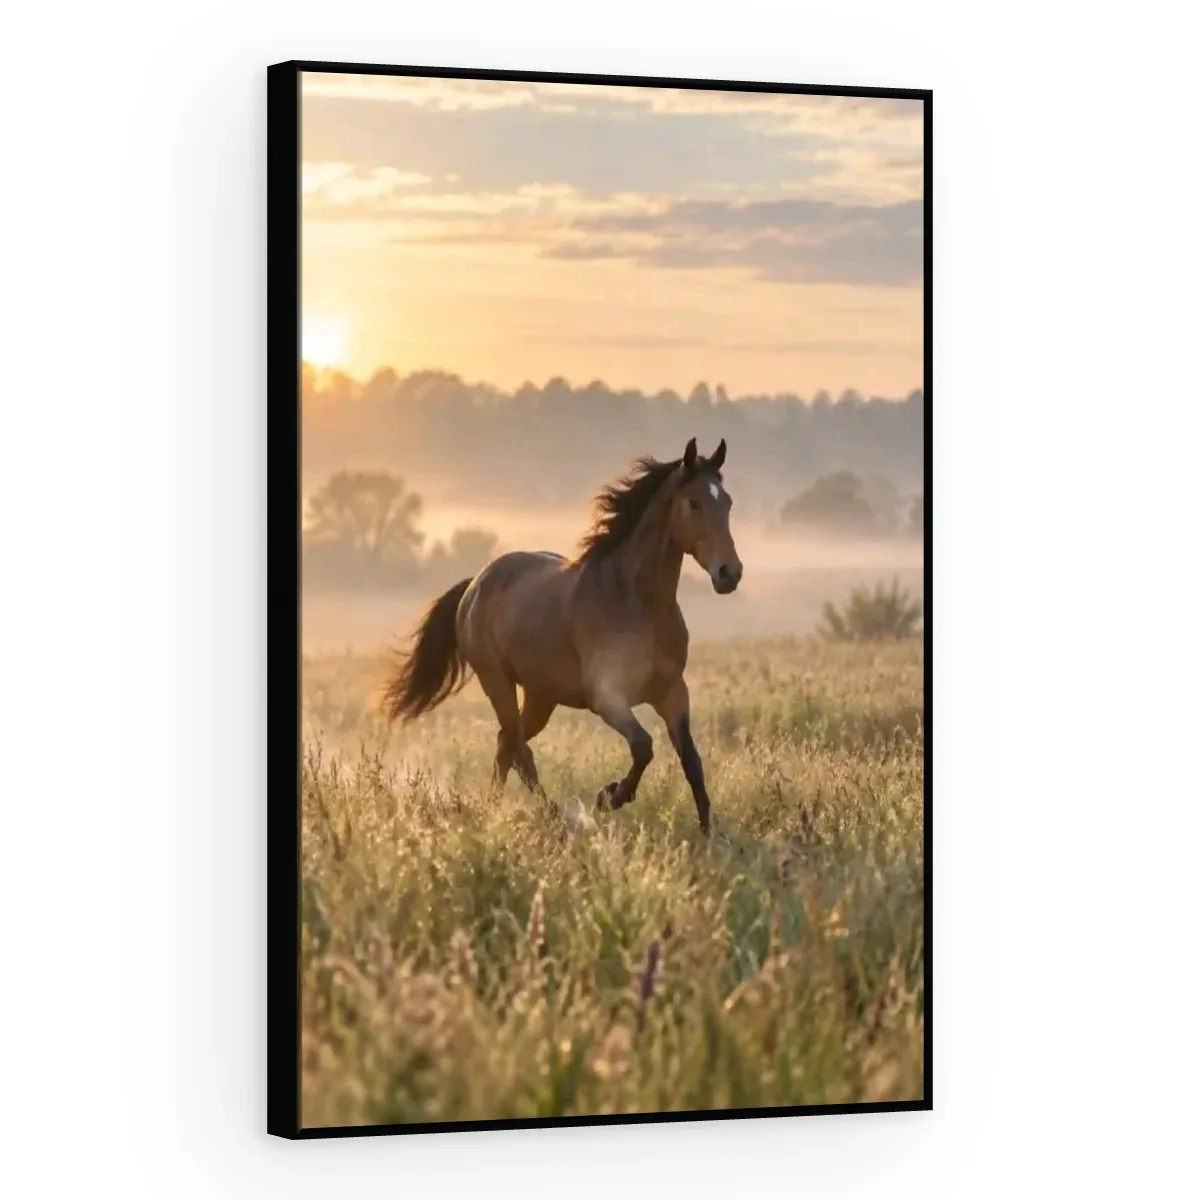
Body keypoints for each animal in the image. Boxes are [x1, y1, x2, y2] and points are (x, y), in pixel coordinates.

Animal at [382, 438, 742, 834]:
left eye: (726, 501)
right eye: (693, 503)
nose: (730, 573)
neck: (637, 603)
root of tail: (476, 583)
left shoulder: (673, 692)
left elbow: (691, 760)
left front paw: (710, 831)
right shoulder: (607, 697)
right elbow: (643, 745)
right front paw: (609, 797)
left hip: (541, 696)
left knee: (506, 744)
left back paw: (493, 811)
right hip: (497, 682)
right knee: (519, 750)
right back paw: (551, 814)